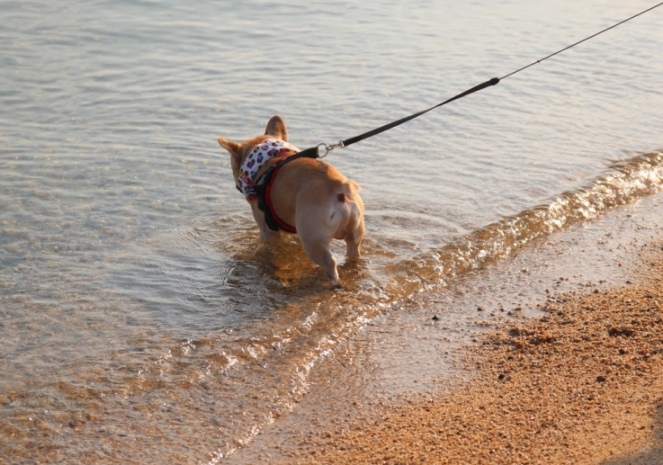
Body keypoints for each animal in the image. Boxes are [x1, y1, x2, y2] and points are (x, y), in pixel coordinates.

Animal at [218, 115, 366, 282]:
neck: (269, 159)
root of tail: (339, 188)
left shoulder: (267, 230)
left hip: (312, 238)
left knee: (329, 262)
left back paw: (333, 280)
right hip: (355, 233)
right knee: (354, 250)